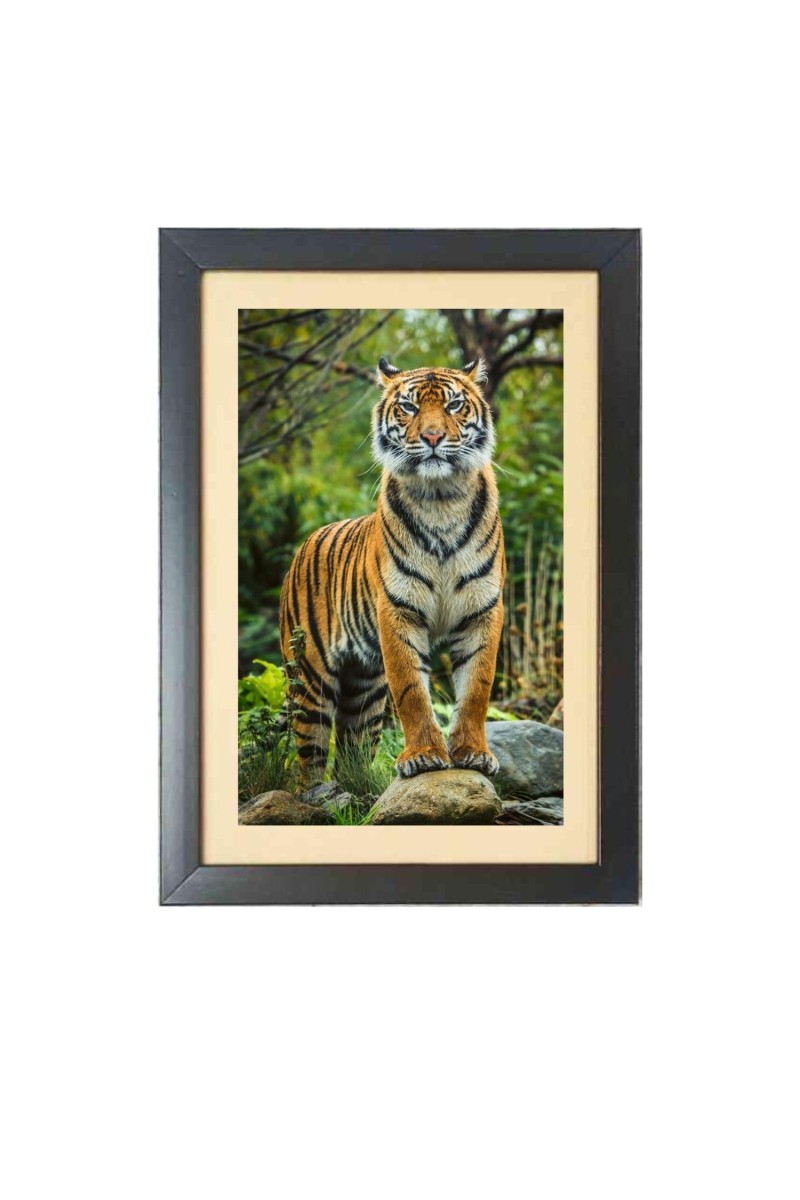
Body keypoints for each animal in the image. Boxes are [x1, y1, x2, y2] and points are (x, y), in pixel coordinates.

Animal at [279, 355, 505, 782]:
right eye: (410, 407)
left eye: (453, 405)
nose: (432, 437)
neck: (441, 499)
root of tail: (303, 545)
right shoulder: (398, 611)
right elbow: (411, 690)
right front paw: (425, 757)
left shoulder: (482, 610)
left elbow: (476, 688)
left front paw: (473, 754)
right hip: (310, 679)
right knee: (309, 757)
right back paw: (312, 793)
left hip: (364, 690)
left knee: (352, 749)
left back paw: (356, 784)